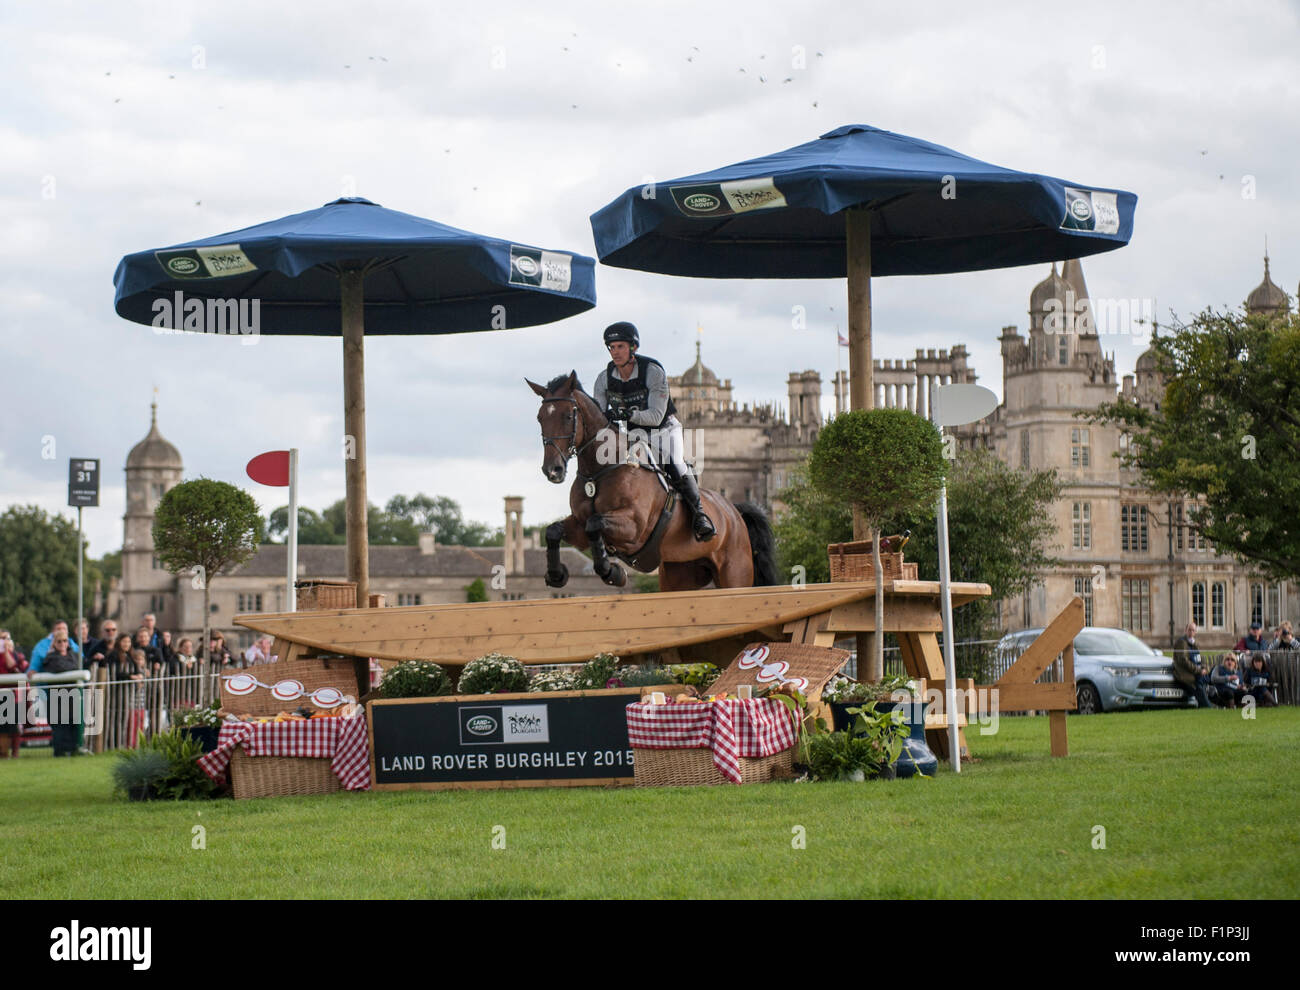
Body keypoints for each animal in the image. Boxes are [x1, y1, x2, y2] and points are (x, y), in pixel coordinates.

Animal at [525, 368, 774, 587]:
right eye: (539, 418)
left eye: (568, 416)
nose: (553, 470)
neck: (598, 472)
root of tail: (734, 511)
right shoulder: (579, 525)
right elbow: (555, 530)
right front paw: (557, 575)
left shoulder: (634, 527)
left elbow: (595, 524)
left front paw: (612, 572)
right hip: (680, 574)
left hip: (734, 573)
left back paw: (703, 524)